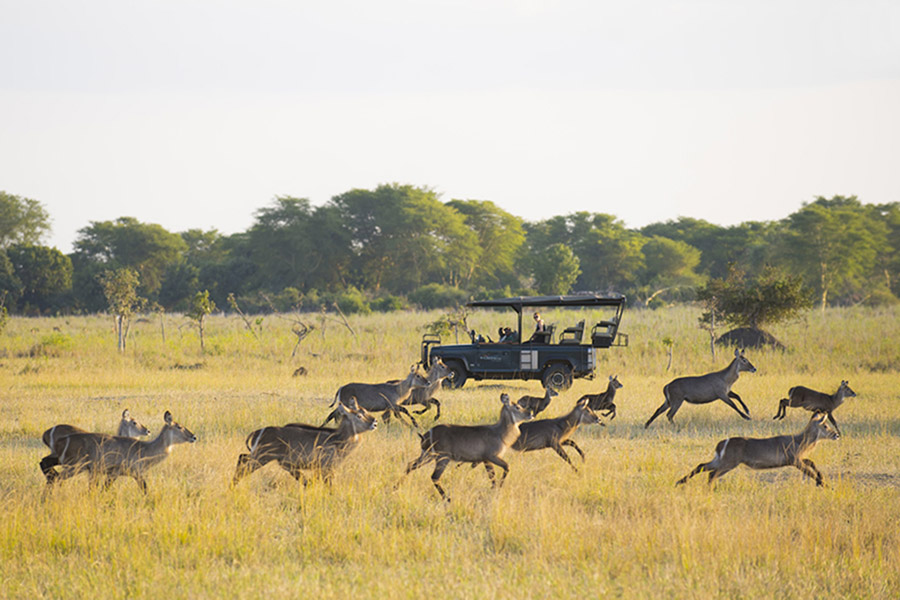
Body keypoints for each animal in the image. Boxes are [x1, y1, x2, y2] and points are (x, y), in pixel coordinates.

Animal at [44, 410, 196, 494]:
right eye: (179, 426)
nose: (194, 436)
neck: (144, 449)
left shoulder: (132, 474)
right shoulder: (118, 473)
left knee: (46, 466)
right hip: (75, 467)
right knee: (56, 477)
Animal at [232, 396, 376, 486]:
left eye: (365, 411)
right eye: (359, 415)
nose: (374, 422)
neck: (339, 439)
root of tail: (259, 431)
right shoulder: (327, 467)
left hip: (258, 455)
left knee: (242, 457)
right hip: (262, 457)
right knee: (243, 464)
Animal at [402, 390, 536, 502]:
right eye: (517, 407)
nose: (530, 414)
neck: (500, 433)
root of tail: (427, 434)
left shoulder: (485, 460)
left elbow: (492, 477)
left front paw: (495, 489)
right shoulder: (491, 457)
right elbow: (505, 468)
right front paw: (498, 488)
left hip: (427, 455)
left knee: (410, 465)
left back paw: (397, 487)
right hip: (442, 458)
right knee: (434, 477)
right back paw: (448, 499)